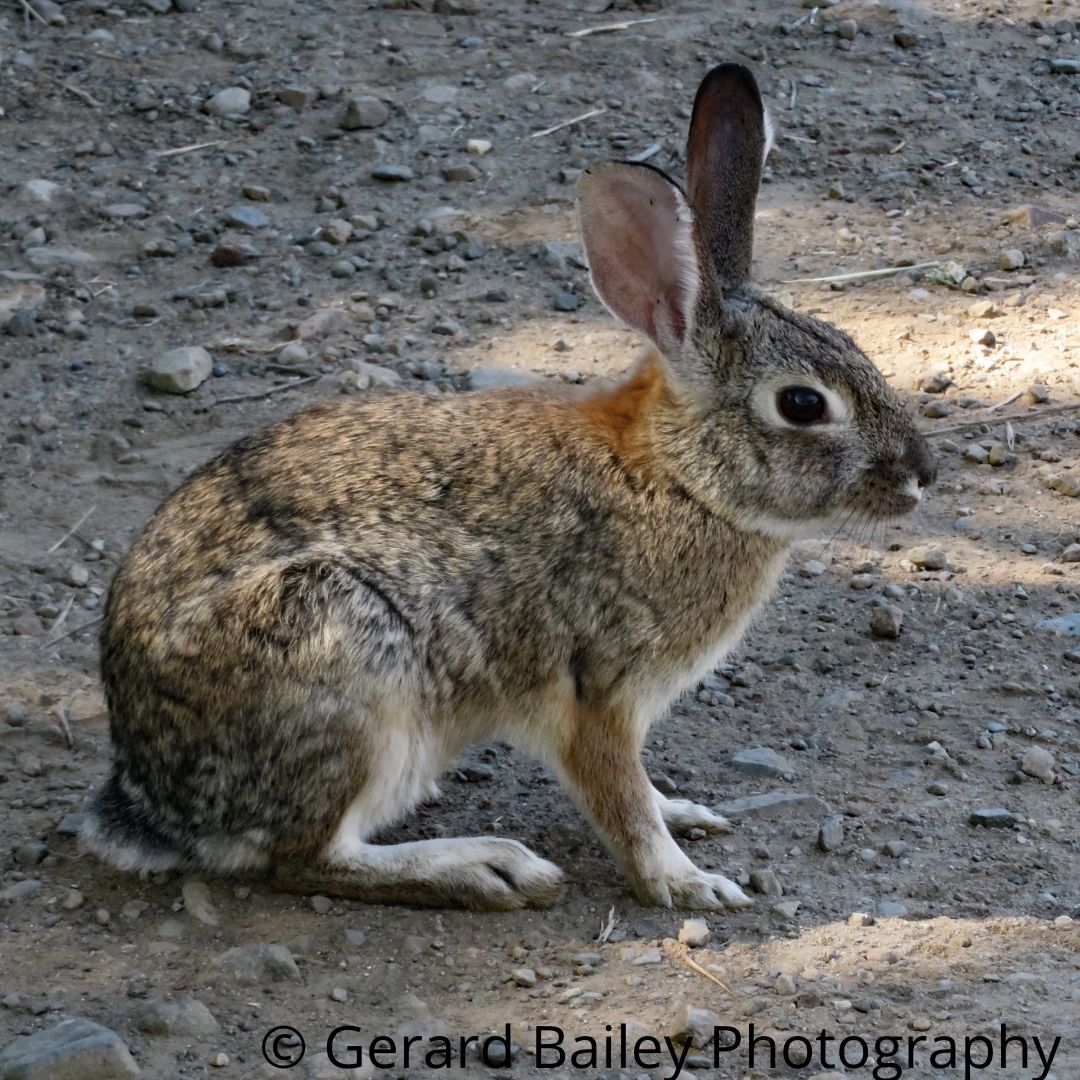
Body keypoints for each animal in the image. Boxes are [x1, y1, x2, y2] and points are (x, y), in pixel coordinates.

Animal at [82, 63, 935, 912]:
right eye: (803, 405)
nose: (922, 473)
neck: (679, 478)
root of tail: (154, 800)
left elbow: (642, 792)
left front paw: (683, 811)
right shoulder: (595, 691)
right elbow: (621, 802)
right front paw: (688, 884)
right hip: (346, 660)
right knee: (307, 859)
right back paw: (487, 869)